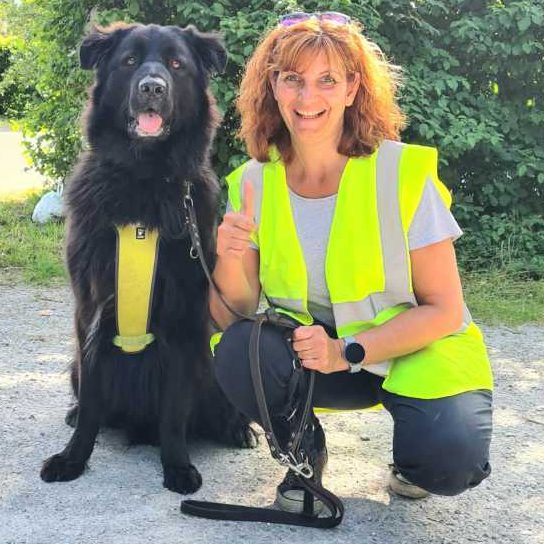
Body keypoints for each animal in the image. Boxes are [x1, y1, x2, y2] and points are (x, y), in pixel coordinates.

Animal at [39, 23, 256, 496]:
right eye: (129, 61)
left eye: (176, 63)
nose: (152, 88)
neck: (143, 179)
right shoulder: (90, 314)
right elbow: (90, 407)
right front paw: (73, 458)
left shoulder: (181, 321)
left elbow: (174, 412)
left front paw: (176, 465)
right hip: (75, 365)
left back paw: (237, 428)